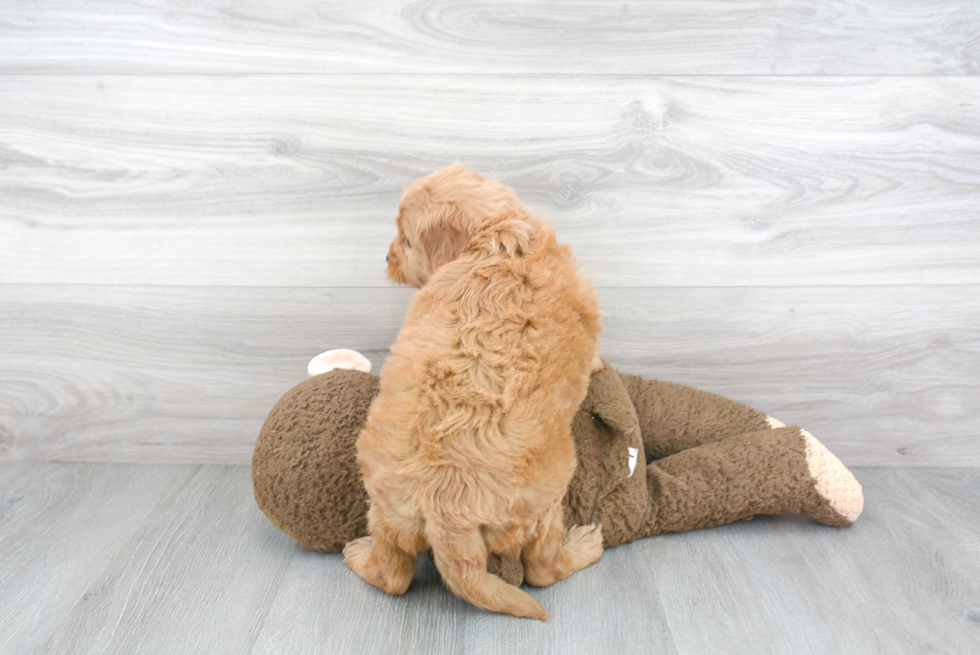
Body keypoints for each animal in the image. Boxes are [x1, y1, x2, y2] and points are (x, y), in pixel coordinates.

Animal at [344, 164, 604, 620]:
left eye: (406, 240)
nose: (386, 259)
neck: (498, 240)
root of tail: (445, 510)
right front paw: (600, 364)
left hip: (385, 506)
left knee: (393, 574)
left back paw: (360, 556)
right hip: (545, 504)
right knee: (542, 569)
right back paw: (584, 546)